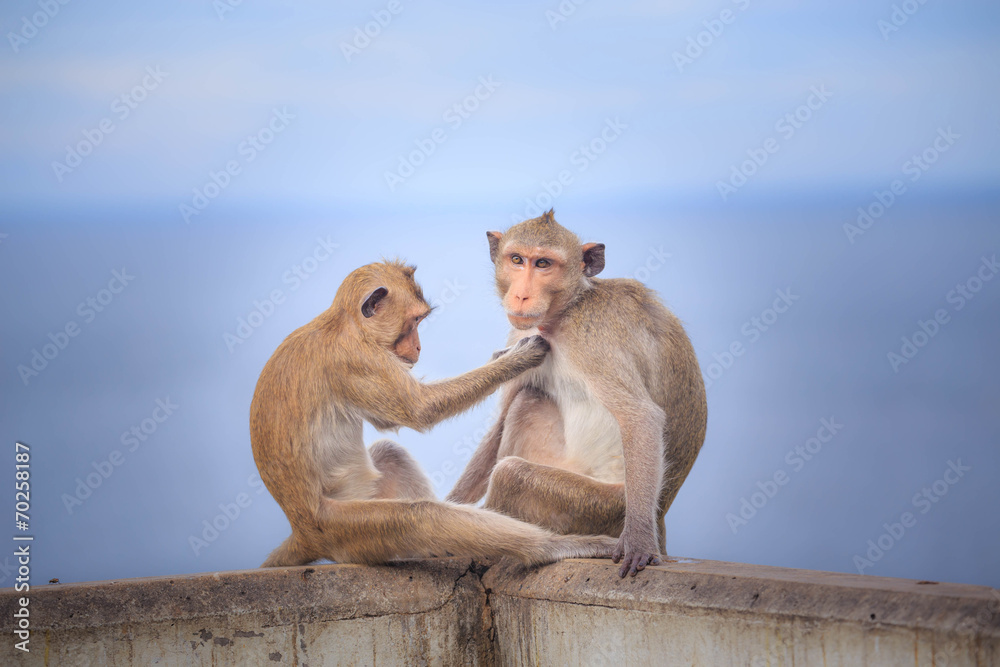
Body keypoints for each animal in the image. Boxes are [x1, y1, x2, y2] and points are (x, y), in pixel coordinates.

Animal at [250, 259, 617, 569]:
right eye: (413, 322)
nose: (417, 348)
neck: (345, 325)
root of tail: (301, 529)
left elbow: (388, 421)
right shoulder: (358, 359)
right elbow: (419, 410)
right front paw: (518, 359)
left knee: (391, 454)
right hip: (341, 528)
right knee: (422, 518)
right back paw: (551, 547)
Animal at [446, 210, 707, 578]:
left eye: (543, 263)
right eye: (517, 259)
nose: (521, 296)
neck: (564, 313)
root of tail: (662, 514)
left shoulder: (592, 337)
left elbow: (641, 417)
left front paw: (639, 542)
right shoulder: (522, 334)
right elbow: (498, 424)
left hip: (603, 505)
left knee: (512, 474)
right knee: (527, 399)